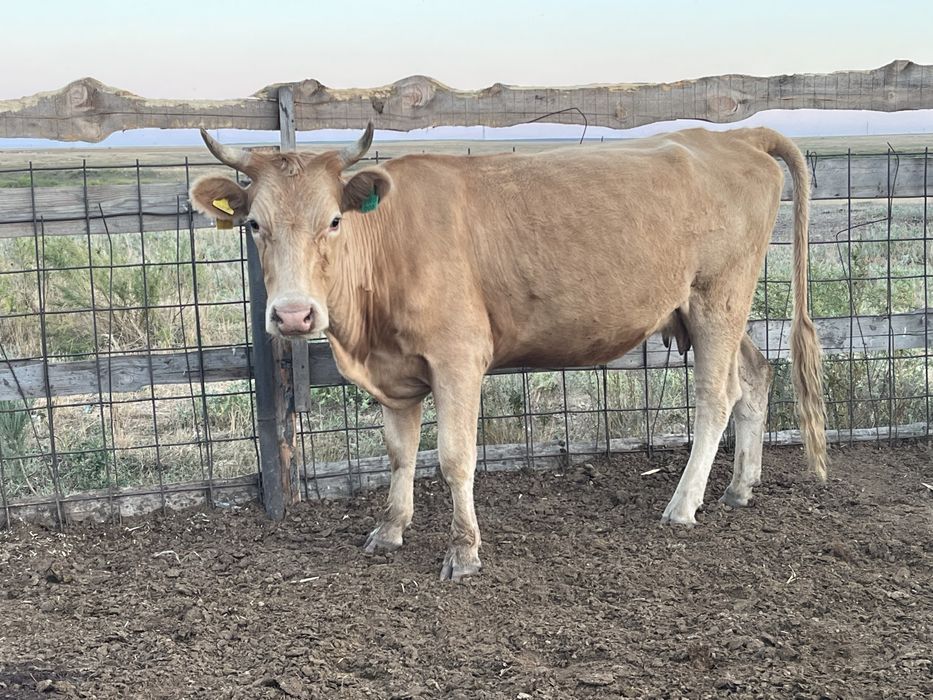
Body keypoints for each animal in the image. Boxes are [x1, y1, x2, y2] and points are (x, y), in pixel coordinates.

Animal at [190, 124, 828, 581]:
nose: (293, 315)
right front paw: (390, 529)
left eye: (333, 220)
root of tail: (731, 136)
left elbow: (453, 457)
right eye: (253, 224)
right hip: (705, 311)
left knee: (717, 396)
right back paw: (740, 487)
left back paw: (683, 505)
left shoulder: (458, 357)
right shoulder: (393, 373)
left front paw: (464, 551)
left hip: (718, 296)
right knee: (755, 377)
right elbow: (399, 453)